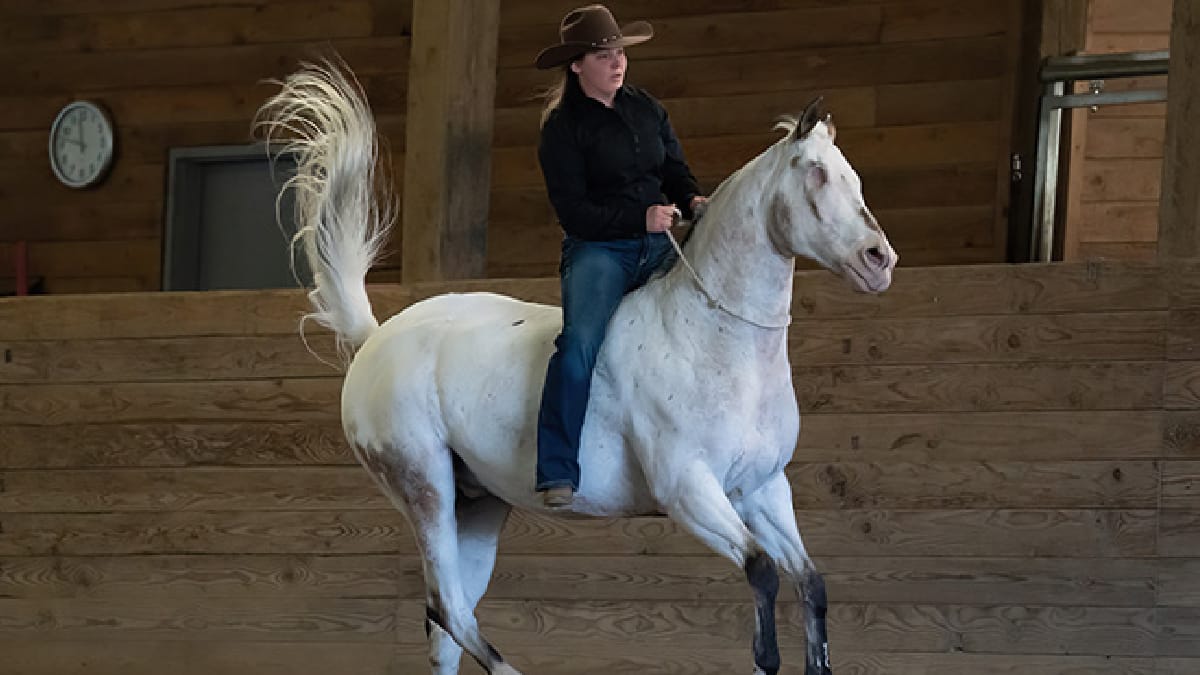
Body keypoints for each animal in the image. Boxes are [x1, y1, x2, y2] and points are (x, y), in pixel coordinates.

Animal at [257, 61, 896, 675]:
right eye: (814, 172)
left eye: (852, 174)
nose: (879, 260)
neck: (712, 338)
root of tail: (376, 337)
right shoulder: (689, 489)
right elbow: (762, 581)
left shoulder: (762, 489)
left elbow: (811, 585)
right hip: (424, 484)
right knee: (449, 610)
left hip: (478, 505)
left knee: (446, 629)